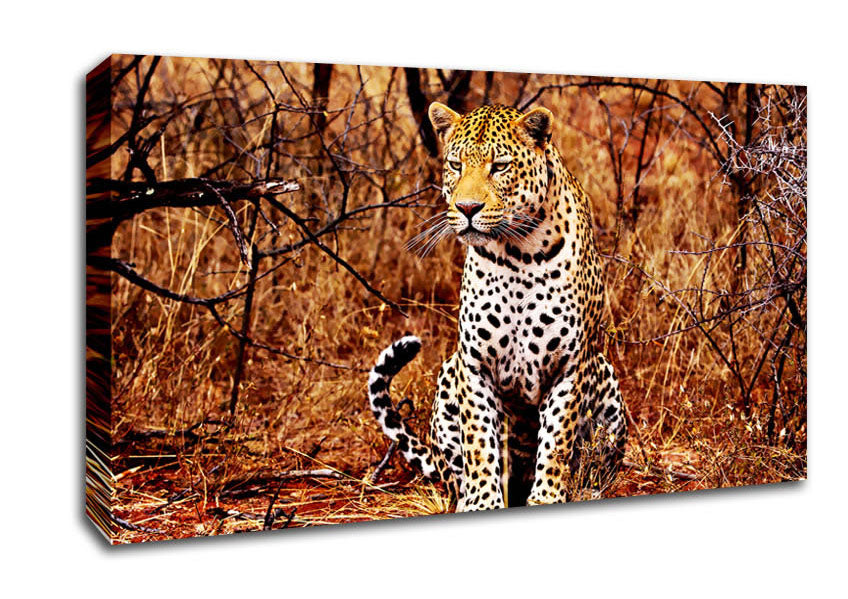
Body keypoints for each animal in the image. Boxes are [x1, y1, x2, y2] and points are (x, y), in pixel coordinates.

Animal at [368, 102, 626, 512]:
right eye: (455, 164)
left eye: (500, 166)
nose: (467, 207)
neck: (518, 253)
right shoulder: (475, 364)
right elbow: (479, 443)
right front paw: (481, 503)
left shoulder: (569, 365)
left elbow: (557, 440)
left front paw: (548, 497)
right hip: (449, 374)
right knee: (455, 470)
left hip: (606, 380)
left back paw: (584, 489)